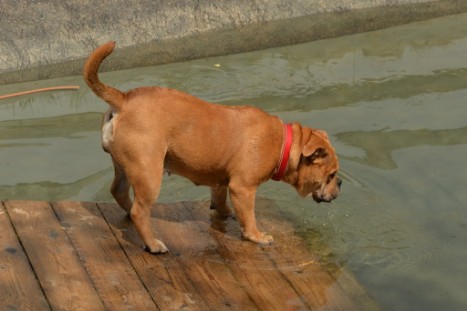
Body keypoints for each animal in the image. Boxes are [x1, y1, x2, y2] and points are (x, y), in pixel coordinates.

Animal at [82, 41, 342, 255]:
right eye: (331, 175)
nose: (340, 182)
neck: (283, 145)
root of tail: (124, 99)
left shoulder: (221, 182)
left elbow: (220, 201)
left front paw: (226, 212)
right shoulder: (243, 188)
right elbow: (249, 217)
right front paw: (256, 236)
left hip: (125, 165)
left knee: (119, 192)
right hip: (148, 172)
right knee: (140, 210)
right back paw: (153, 244)